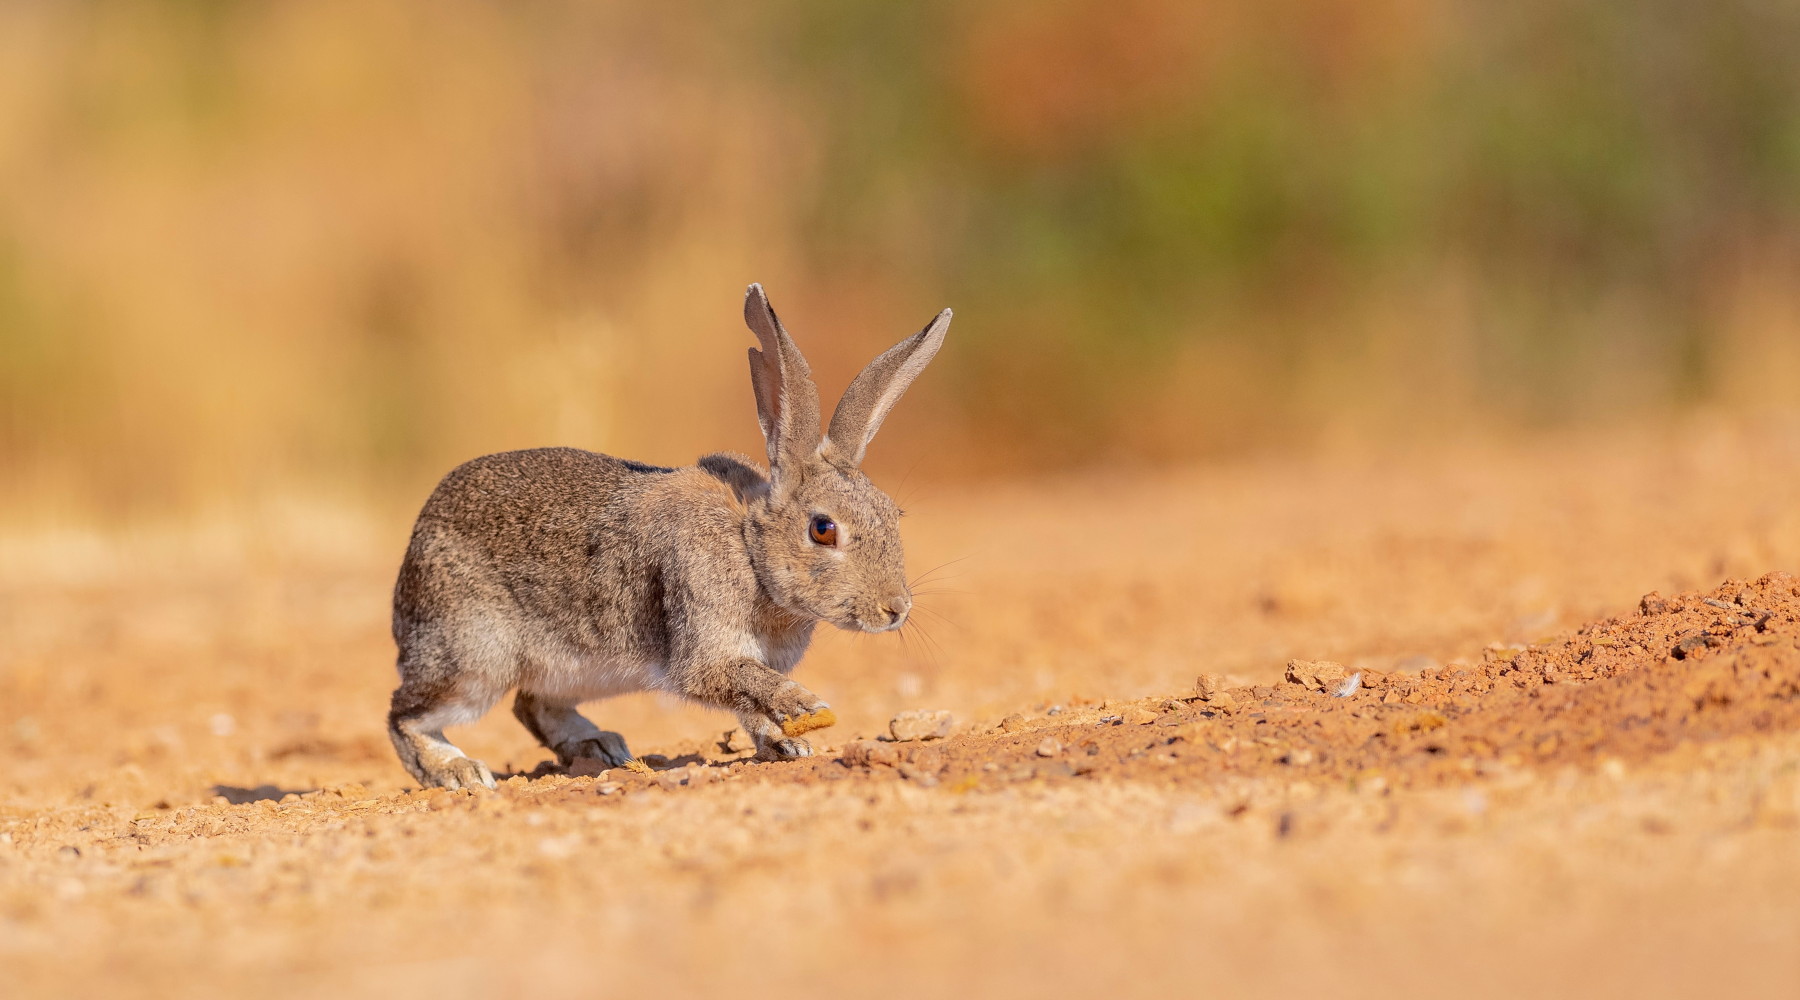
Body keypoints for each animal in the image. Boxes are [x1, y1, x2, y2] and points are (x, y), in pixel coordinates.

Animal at [386, 284, 951, 789]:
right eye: (823, 529)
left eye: (894, 513)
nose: (895, 609)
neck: (750, 550)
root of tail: (413, 553)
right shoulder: (705, 647)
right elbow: (739, 683)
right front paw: (804, 706)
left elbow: (750, 704)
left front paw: (786, 744)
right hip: (475, 658)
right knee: (405, 715)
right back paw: (458, 772)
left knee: (531, 704)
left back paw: (598, 746)